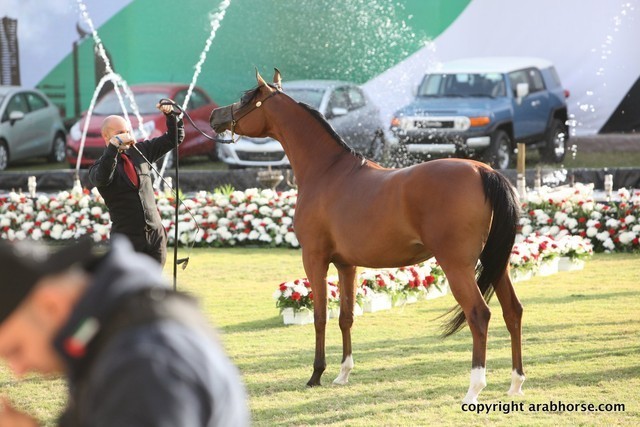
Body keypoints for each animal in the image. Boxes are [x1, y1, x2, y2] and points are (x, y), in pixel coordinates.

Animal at [210, 69, 525, 404]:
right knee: (512, 312)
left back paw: (473, 389)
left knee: (479, 315)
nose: (215, 117)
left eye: (246, 99)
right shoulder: (346, 264)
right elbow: (346, 316)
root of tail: (484, 172)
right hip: (496, 263)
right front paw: (343, 374)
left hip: (458, 266)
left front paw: (316, 374)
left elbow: (320, 316)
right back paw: (515, 383)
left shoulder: (315, 259)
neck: (328, 172)